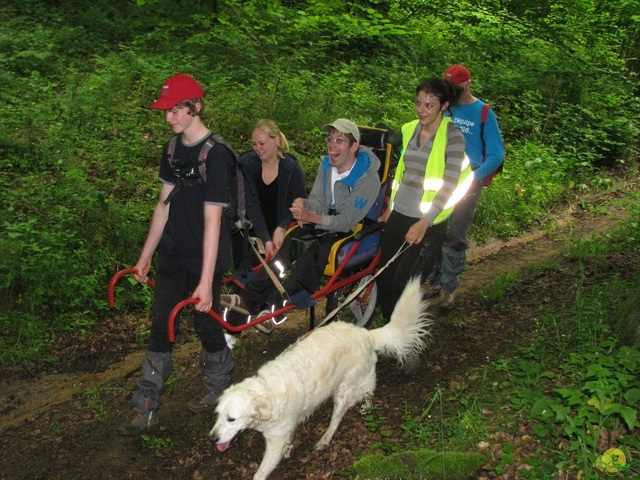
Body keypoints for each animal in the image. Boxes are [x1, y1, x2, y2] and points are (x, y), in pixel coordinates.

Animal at [209, 278, 430, 480]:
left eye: (231, 419)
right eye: (217, 415)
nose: (212, 438)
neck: (267, 395)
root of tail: (365, 333)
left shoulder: (275, 440)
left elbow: (260, 473)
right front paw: (289, 449)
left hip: (344, 390)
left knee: (340, 416)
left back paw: (325, 438)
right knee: (369, 391)